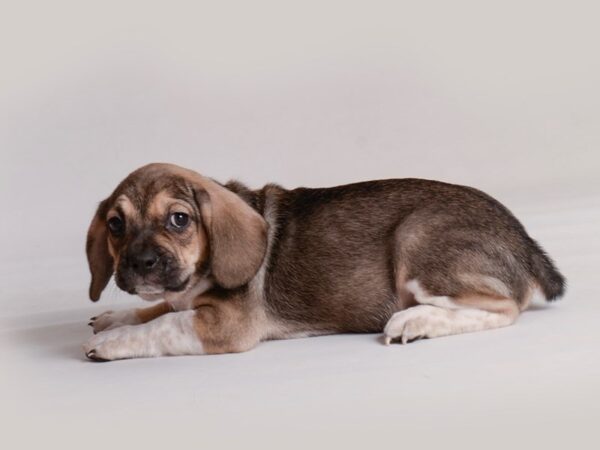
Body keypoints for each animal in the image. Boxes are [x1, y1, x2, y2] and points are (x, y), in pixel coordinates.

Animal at [83, 163, 564, 360]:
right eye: (115, 225)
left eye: (179, 219)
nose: (141, 263)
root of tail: (523, 239)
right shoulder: (181, 298)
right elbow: (159, 308)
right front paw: (115, 319)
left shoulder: (226, 325)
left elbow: (164, 323)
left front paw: (113, 340)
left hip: (417, 237)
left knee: (505, 307)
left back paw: (416, 320)